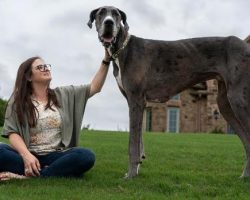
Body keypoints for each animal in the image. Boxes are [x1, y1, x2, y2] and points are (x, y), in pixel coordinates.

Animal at [87, 5, 250, 178]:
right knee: (247, 142)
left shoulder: (136, 99)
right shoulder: (139, 103)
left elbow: (133, 143)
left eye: (116, 14)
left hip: (238, 99)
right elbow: (140, 139)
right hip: (225, 104)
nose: (109, 23)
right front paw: (137, 168)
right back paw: (244, 176)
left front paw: (130, 175)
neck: (122, 49)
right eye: (101, 13)